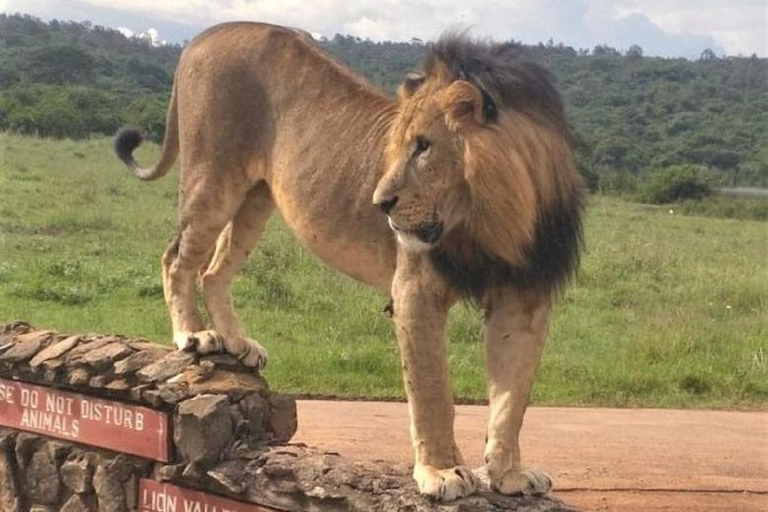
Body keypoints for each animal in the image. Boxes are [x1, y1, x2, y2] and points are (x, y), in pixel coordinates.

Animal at [114, 23, 584, 500]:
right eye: (397, 147)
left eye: (424, 147)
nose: (380, 203)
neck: (498, 218)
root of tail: (207, 33)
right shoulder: (414, 290)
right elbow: (432, 391)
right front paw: (442, 471)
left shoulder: (524, 300)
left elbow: (512, 402)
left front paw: (509, 475)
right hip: (212, 177)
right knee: (177, 258)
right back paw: (194, 335)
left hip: (257, 198)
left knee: (214, 272)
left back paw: (238, 343)